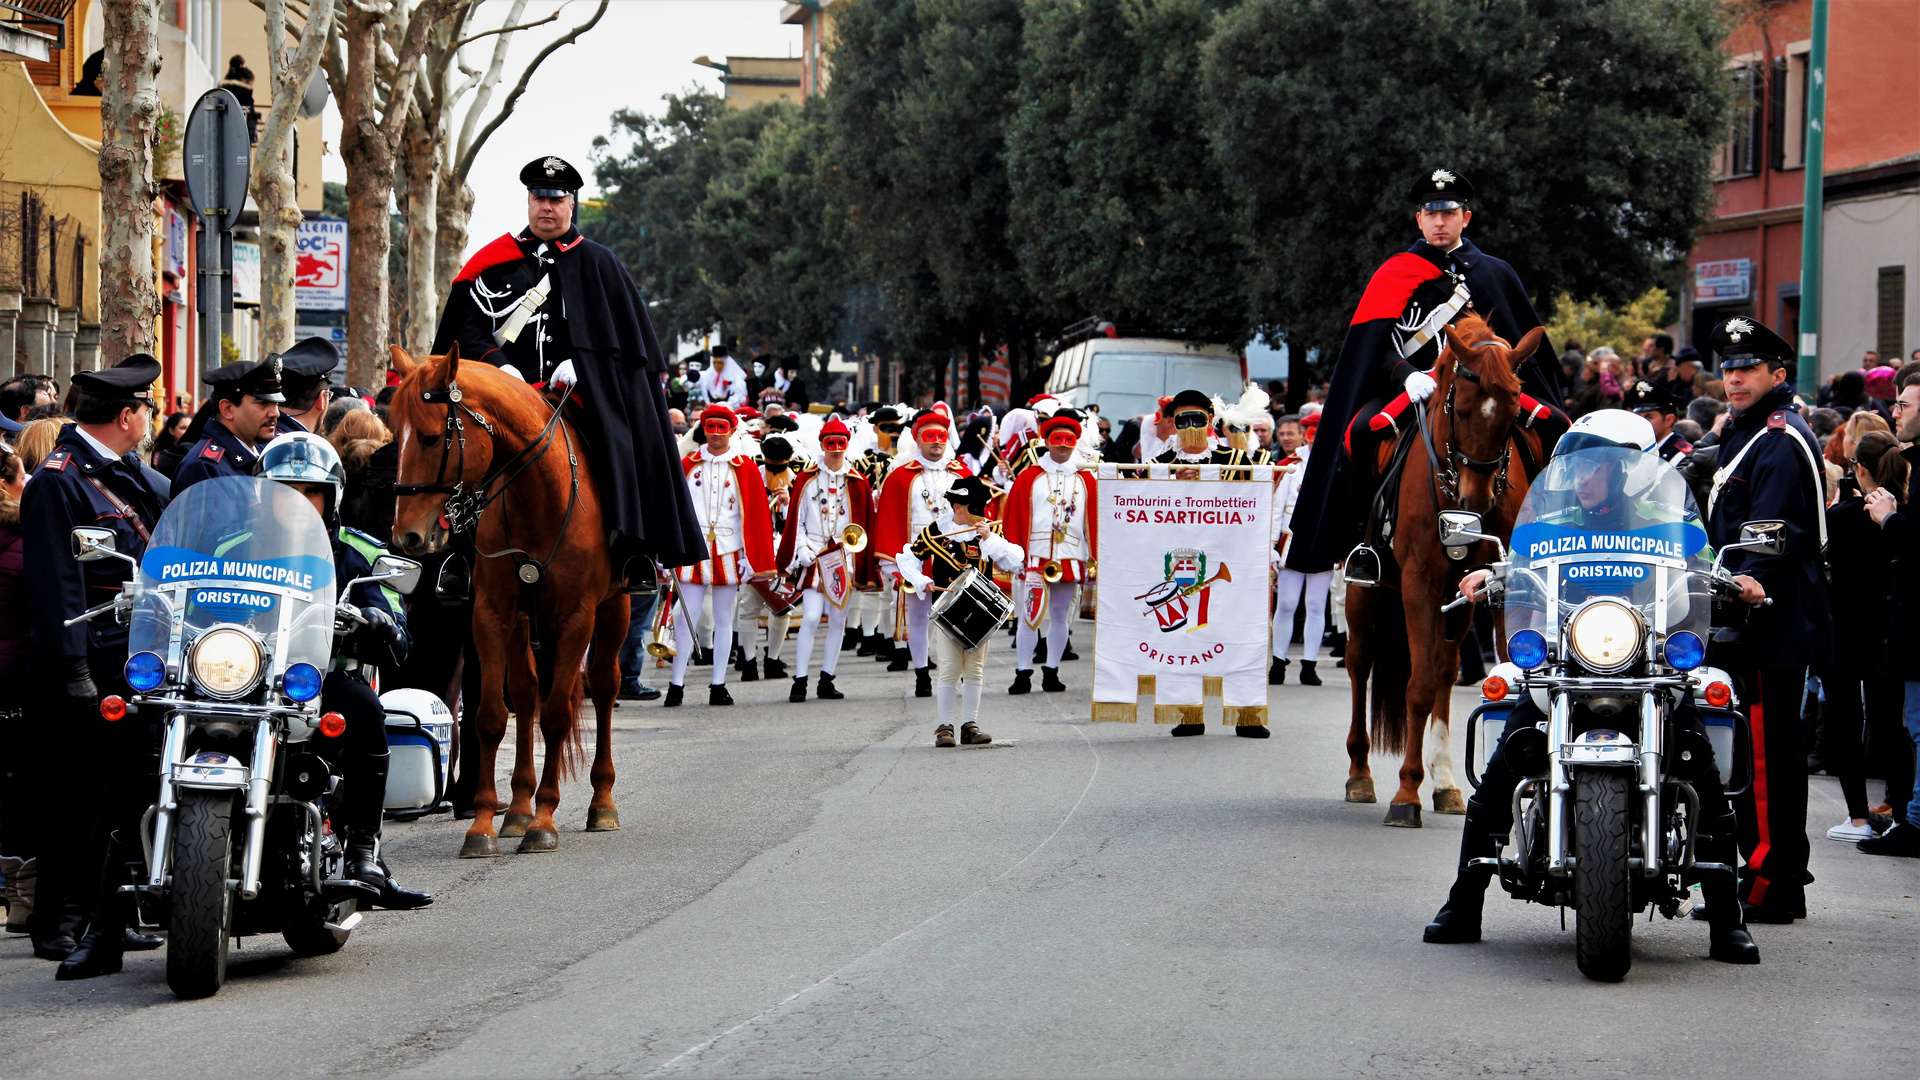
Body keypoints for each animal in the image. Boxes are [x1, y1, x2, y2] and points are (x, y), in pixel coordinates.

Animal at [384, 342, 629, 849]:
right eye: (393, 435)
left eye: (431, 439)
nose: (407, 536)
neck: (541, 497)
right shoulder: (493, 613)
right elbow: (493, 714)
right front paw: (484, 823)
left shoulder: (577, 617)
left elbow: (556, 715)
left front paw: (544, 821)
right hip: (524, 624)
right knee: (527, 692)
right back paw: (516, 807)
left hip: (616, 606)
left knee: (603, 685)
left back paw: (601, 802)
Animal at [1344, 311, 1551, 822]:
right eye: (1462, 410)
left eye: (1513, 415)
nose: (1473, 503)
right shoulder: (1419, 581)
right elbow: (1416, 686)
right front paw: (1405, 794)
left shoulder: (1493, 585)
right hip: (1365, 588)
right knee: (1360, 661)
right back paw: (1360, 774)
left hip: (1457, 600)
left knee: (1444, 666)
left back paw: (1444, 782)